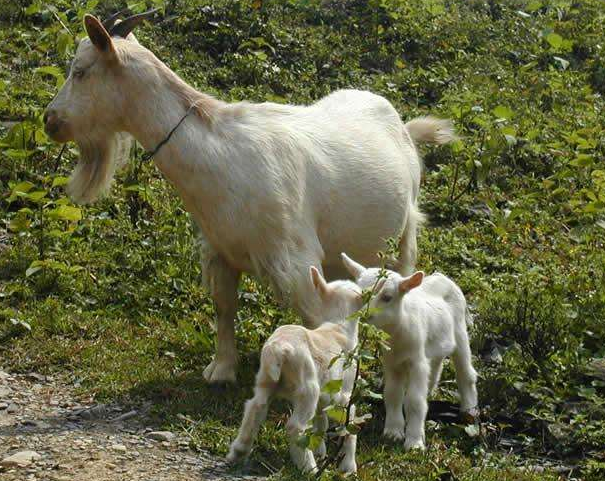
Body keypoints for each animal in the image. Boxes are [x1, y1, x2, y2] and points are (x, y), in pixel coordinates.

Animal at [43, 12, 452, 382]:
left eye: (80, 71)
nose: (50, 120)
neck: (222, 156)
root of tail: (402, 123)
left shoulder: (298, 261)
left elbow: (316, 322)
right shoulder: (219, 250)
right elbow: (225, 309)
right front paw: (221, 370)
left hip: (405, 235)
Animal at [225, 266, 358, 472]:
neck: (338, 326)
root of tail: (278, 350)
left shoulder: (325, 395)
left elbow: (321, 421)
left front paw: (320, 450)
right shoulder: (344, 392)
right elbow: (349, 424)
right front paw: (349, 466)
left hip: (265, 380)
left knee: (255, 406)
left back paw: (238, 452)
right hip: (308, 386)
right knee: (295, 426)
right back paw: (309, 468)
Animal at [340, 255, 476, 450]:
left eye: (387, 297)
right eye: (360, 295)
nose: (364, 317)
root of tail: (442, 277)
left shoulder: (416, 361)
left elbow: (414, 401)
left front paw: (414, 443)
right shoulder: (392, 362)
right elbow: (393, 394)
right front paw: (393, 432)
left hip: (460, 333)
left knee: (466, 372)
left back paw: (469, 411)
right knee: (435, 366)